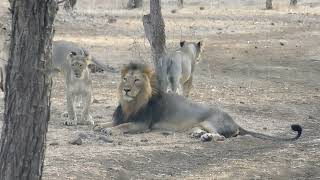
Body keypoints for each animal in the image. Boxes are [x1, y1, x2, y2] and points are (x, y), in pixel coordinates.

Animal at [93, 62, 302, 141]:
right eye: (125, 79)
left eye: (136, 80)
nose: (126, 89)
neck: (131, 102)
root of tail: (235, 121)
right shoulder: (124, 115)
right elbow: (113, 121)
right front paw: (100, 125)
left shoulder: (142, 124)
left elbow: (124, 126)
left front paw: (110, 130)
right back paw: (198, 134)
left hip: (210, 121)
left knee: (221, 137)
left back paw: (207, 137)